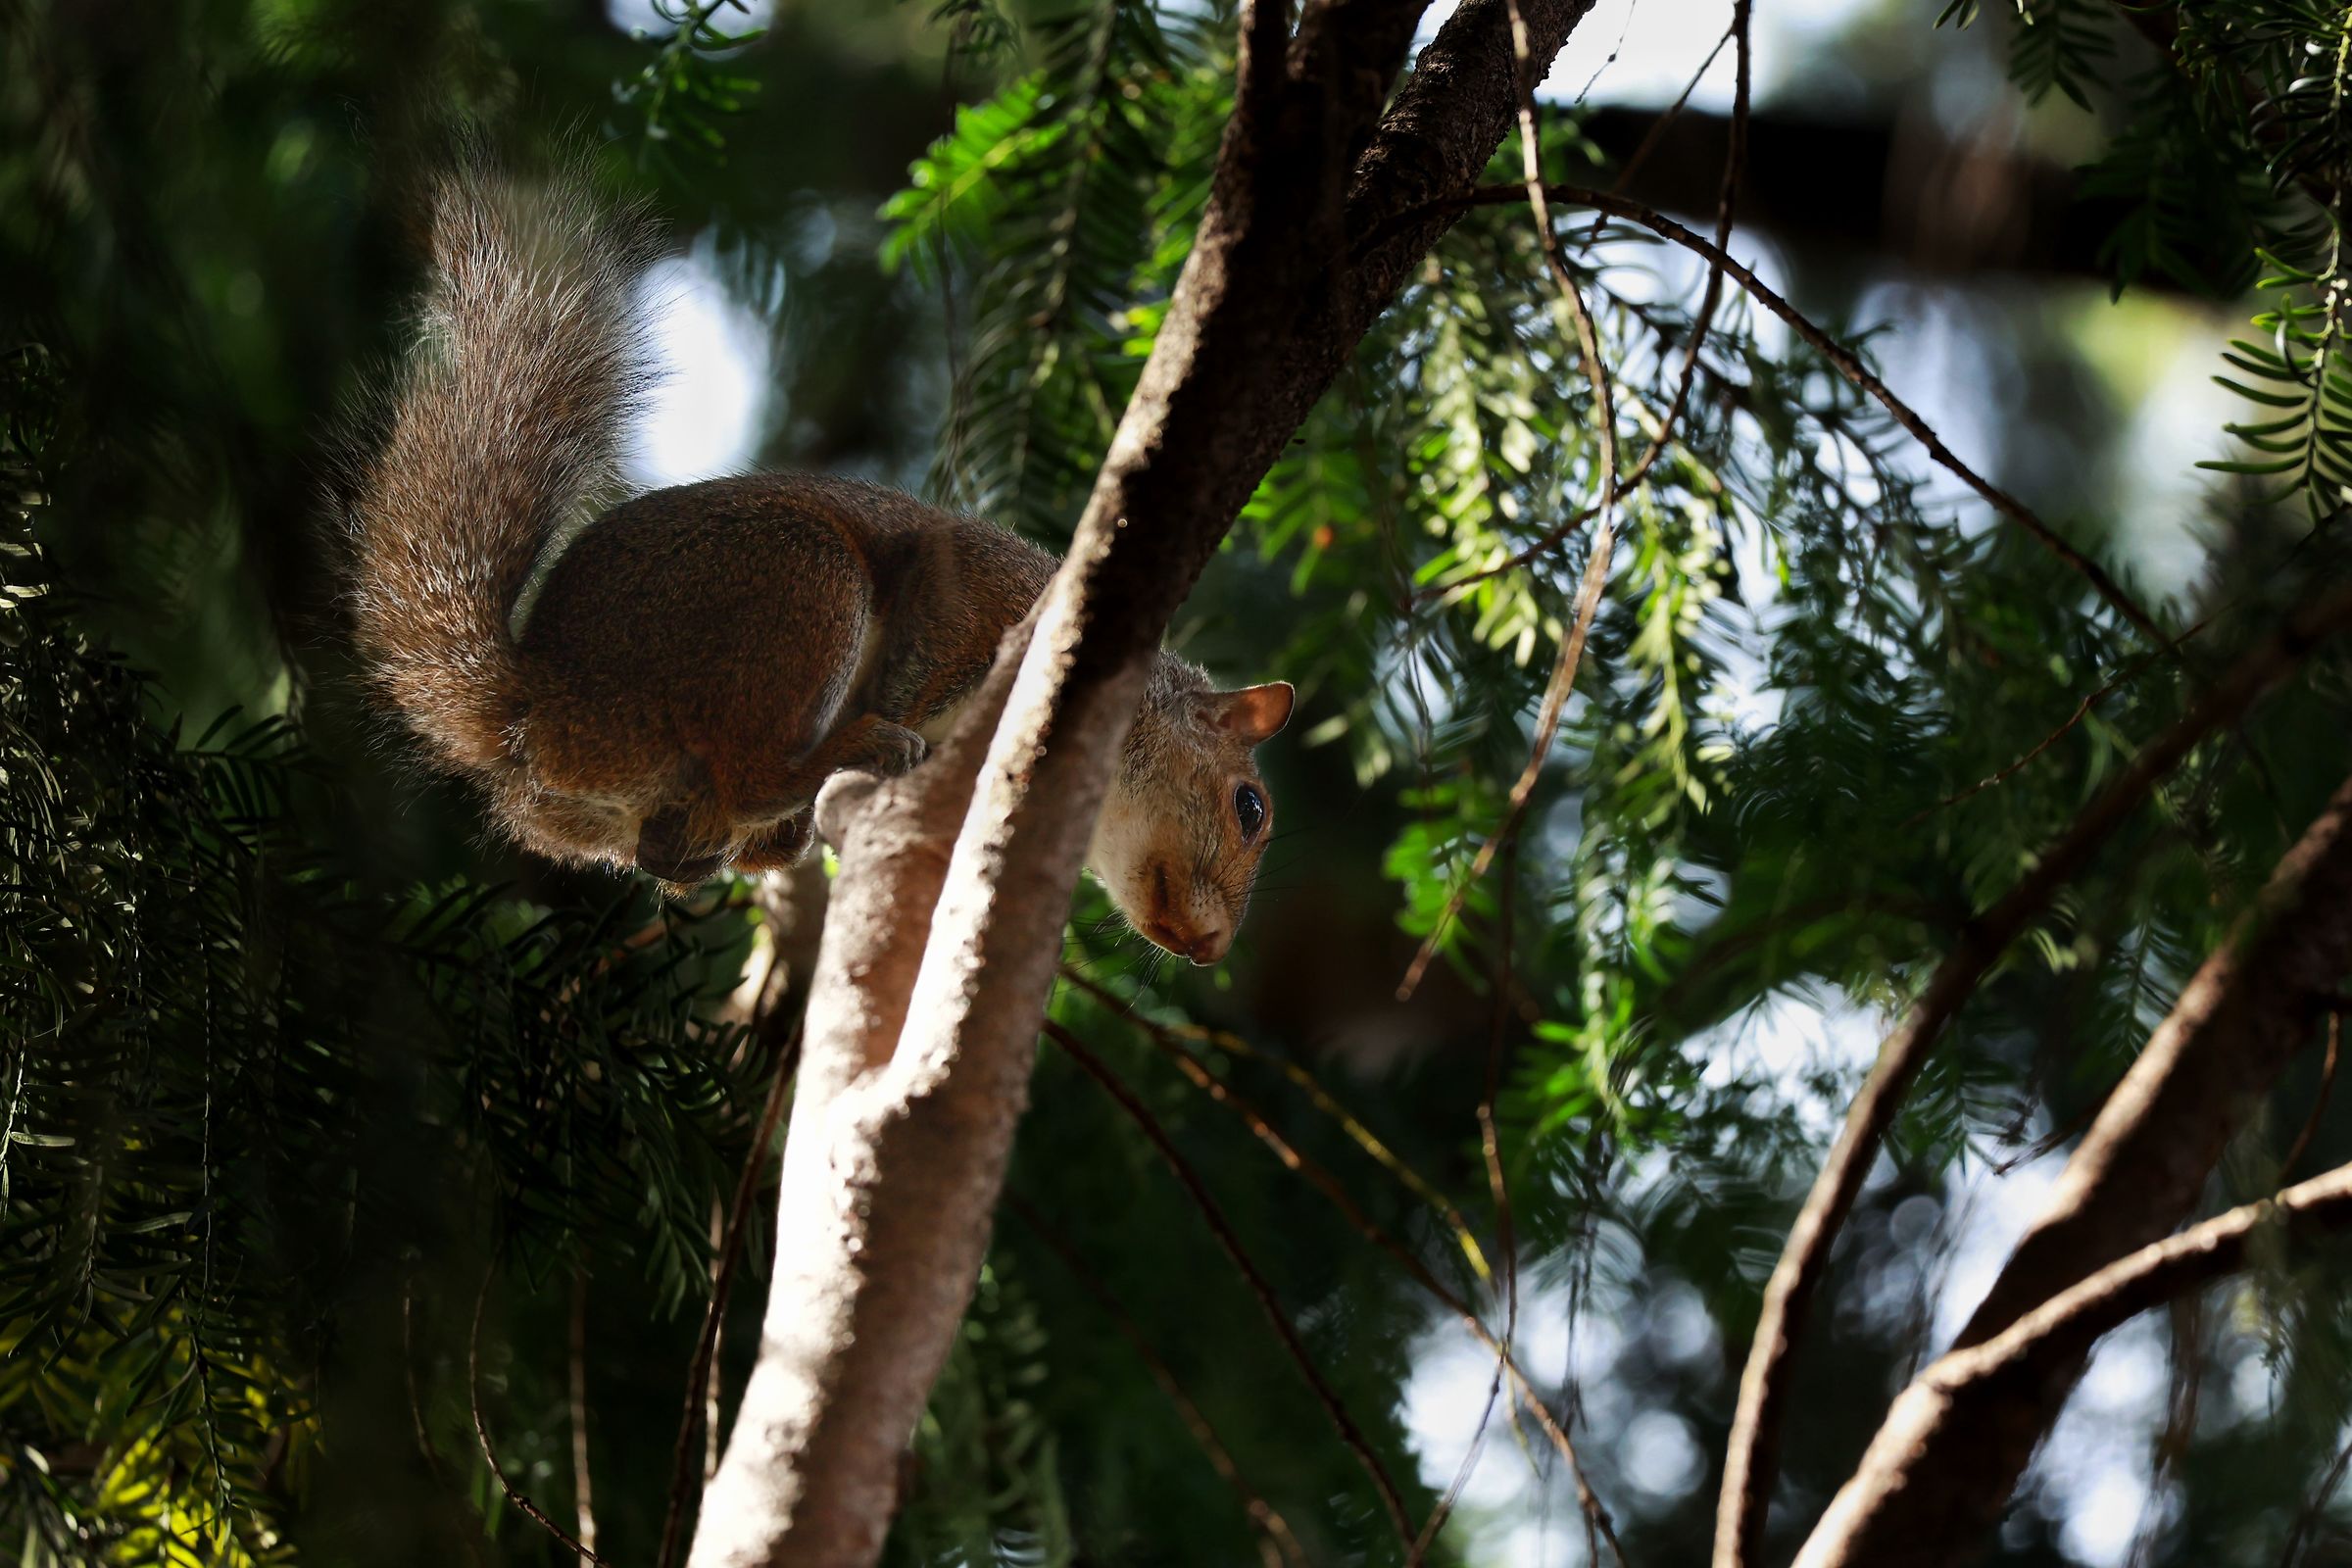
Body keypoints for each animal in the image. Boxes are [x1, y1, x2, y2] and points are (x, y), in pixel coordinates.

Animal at [342, 160, 1292, 965]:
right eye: (1250, 808)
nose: (1210, 952)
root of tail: (544, 707)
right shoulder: (977, 595)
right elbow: (930, 644)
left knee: (678, 845)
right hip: (799, 585)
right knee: (751, 769)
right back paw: (856, 749)